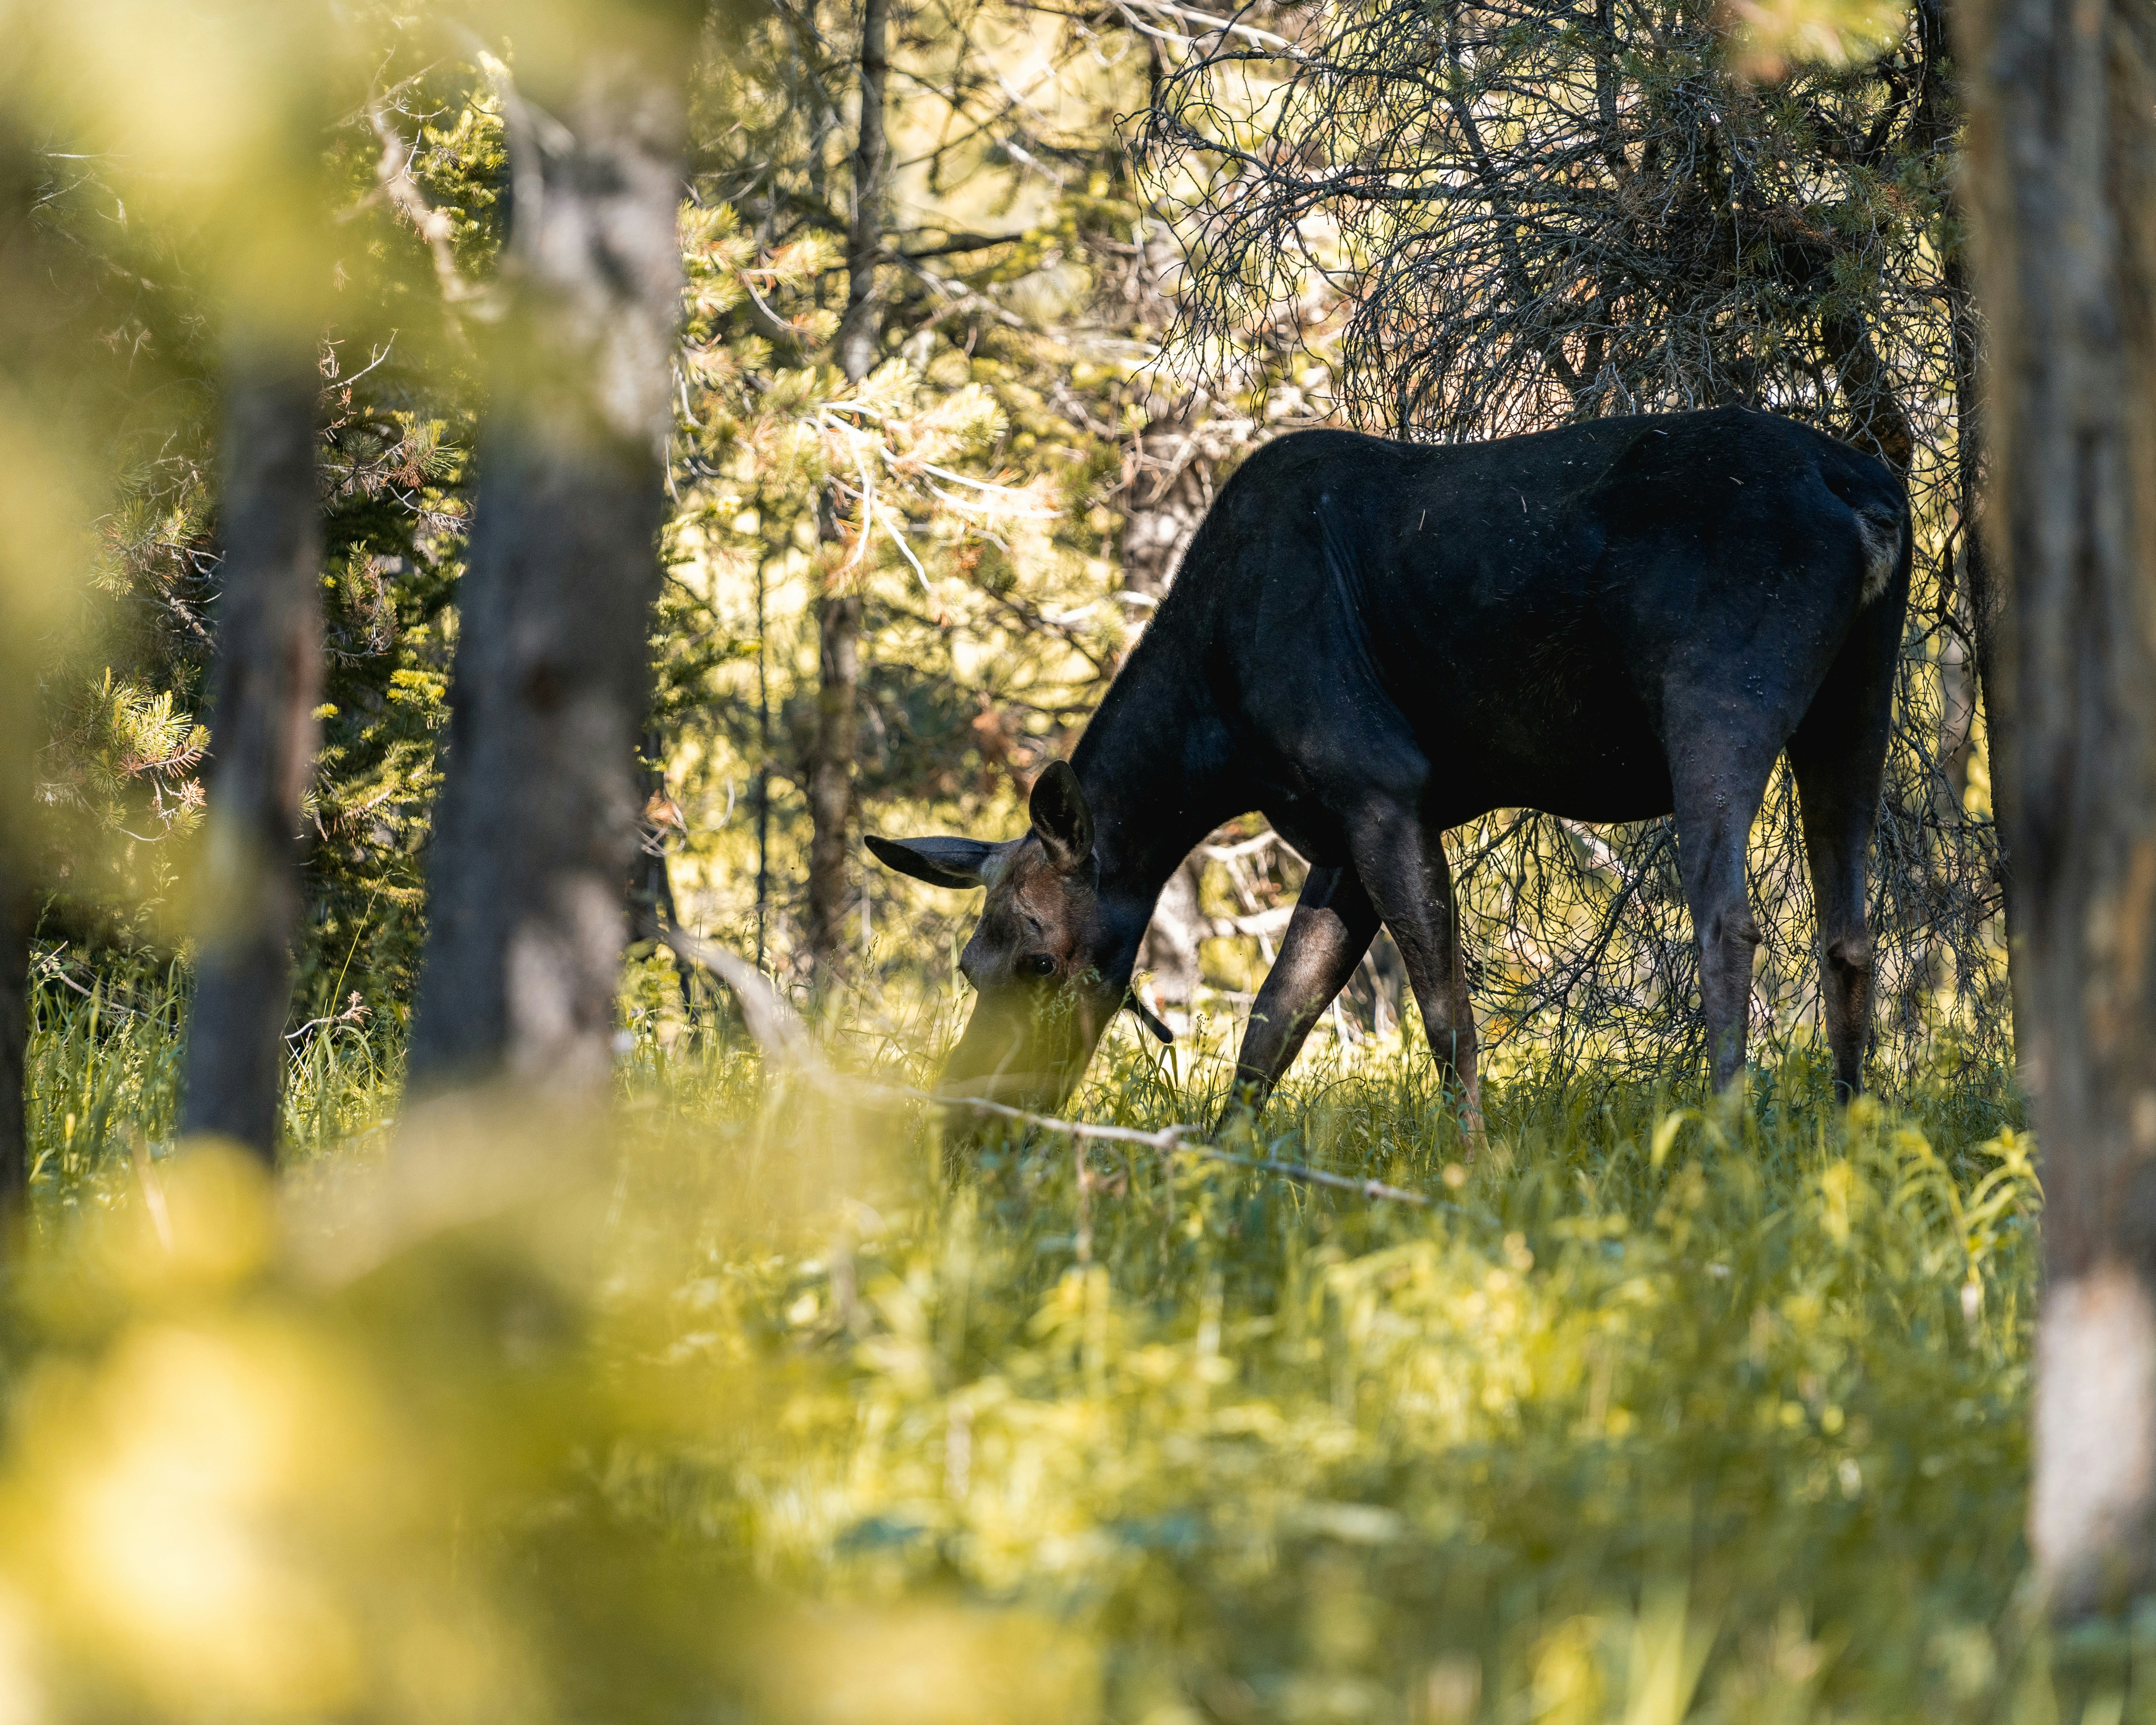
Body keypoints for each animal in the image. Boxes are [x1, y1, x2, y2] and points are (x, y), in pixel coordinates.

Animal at [868, 406, 1911, 1126]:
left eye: (1040, 957)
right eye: (967, 964)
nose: (964, 1117)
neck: (1216, 740)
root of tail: (1866, 496)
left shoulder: (1380, 788)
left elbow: (1444, 1012)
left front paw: (1474, 1165)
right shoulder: (1335, 834)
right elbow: (1275, 1019)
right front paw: (1219, 1164)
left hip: (1716, 696)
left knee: (1729, 920)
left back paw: (1727, 1136)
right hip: (1857, 701)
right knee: (1849, 934)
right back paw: (1850, 1136)